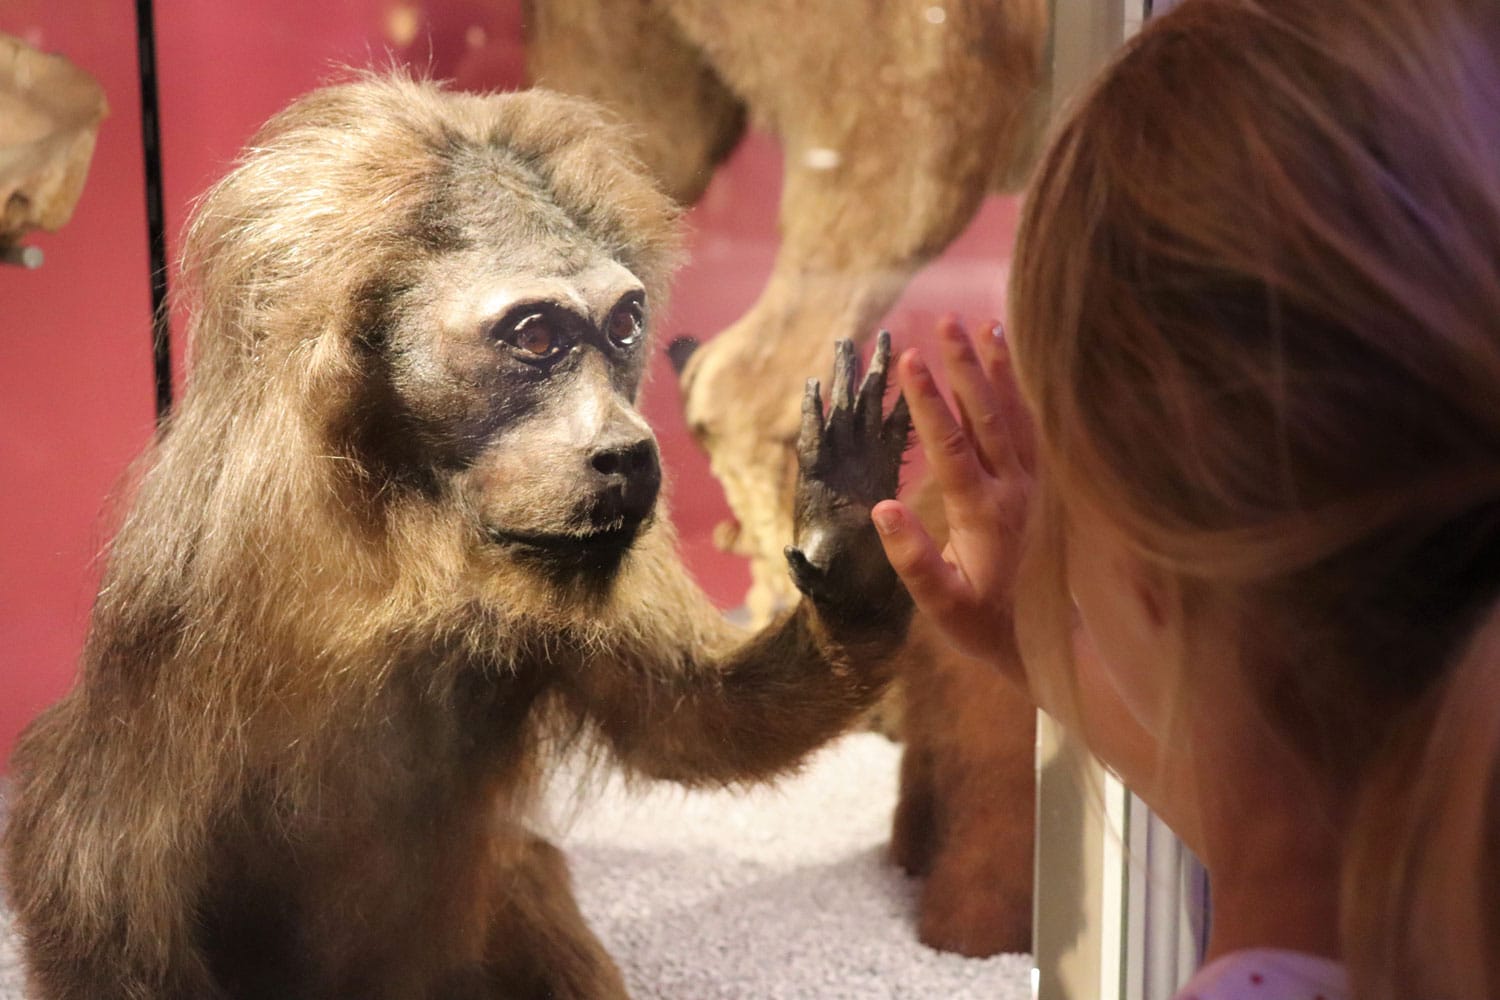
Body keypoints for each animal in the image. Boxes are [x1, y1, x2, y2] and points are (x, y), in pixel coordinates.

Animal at [0, 72, 912, 1000]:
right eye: (538, 337)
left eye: (624, 325)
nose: (628, 452)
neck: (405, 551)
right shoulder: (200, 593)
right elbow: (95, 873)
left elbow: (698, 720)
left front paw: (848, 542)